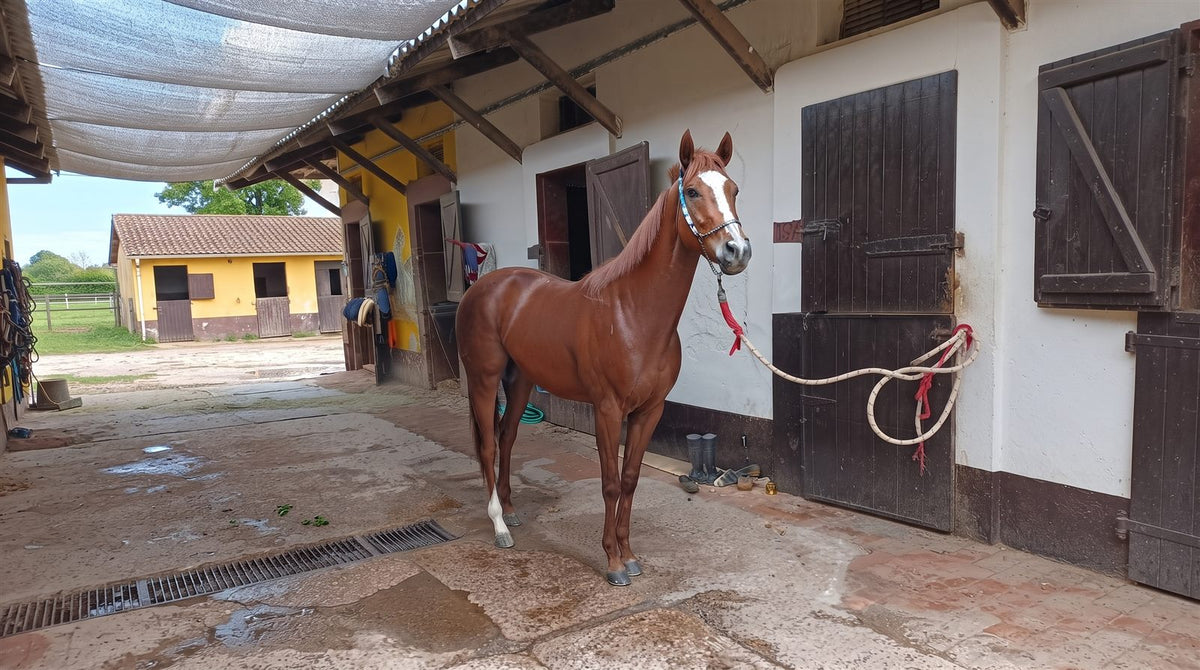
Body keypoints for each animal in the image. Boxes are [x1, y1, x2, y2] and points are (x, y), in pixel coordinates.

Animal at [455, 130, 751, 586]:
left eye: (734, 190)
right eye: (692, 191)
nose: (737, 251)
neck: (633, 314)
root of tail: (482, 288)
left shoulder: (650, 411)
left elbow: (629, 480)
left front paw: (629, 556)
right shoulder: (608, 410)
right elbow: (610, 483)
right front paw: (612, 563)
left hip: (520, 380)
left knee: (507, 438)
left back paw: (511, 509)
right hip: (484, 379)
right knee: (488, 445)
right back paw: (500, 525)